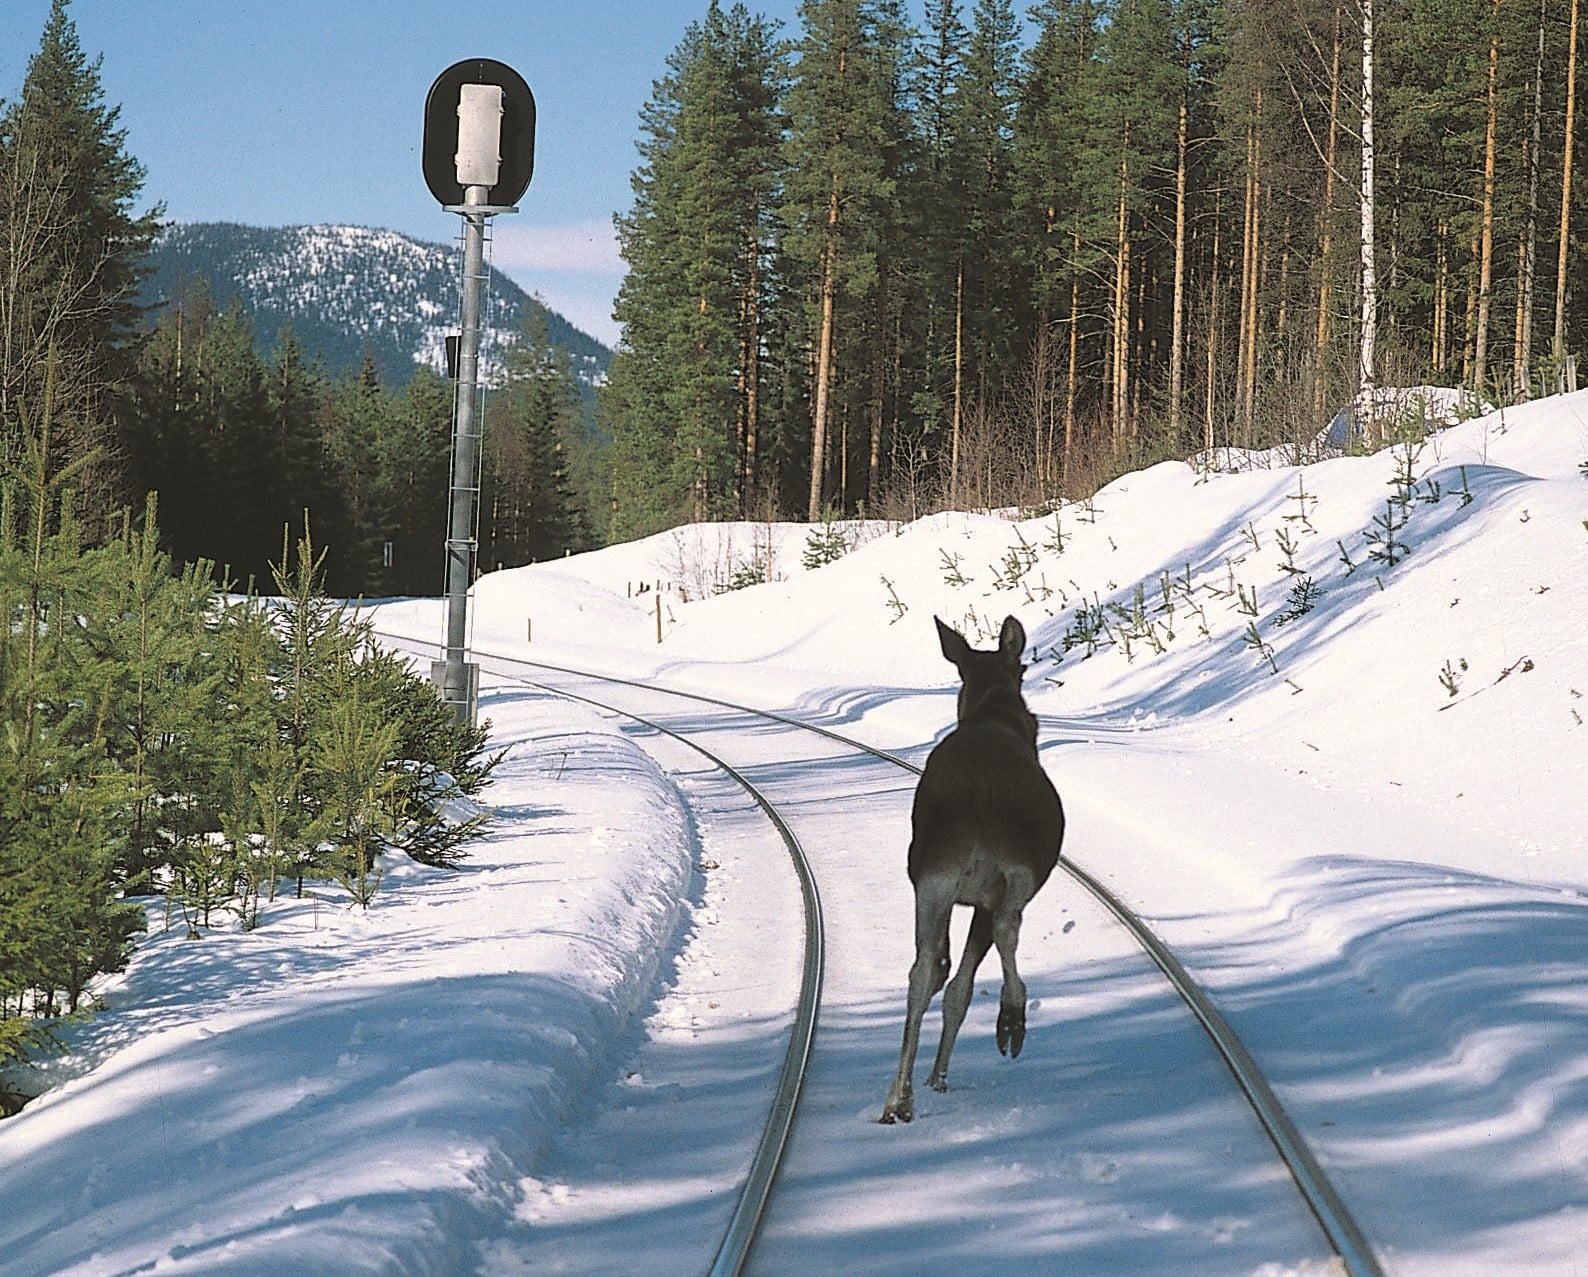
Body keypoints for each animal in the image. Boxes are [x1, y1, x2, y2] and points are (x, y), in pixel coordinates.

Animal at [882, 613, 1067, 1124]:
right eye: (1022, 669)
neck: (994, 710)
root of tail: (977, 790)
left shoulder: (945, 889)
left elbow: (946, 981)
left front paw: (929, 1079)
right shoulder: (987, 895)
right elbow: (963, 986)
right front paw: (939, 1075)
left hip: (931, 876)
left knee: (922, 971)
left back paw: (897, 1098)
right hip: (1013, 872)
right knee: (1005, 928)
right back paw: (1013, 1017)